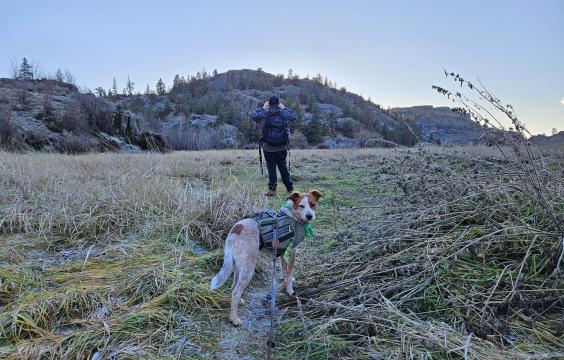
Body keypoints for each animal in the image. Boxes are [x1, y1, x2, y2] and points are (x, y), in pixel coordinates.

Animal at [209, 191, 322, 326]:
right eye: (301, 206)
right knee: (236, 292)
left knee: (233, 288)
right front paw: (290, 290)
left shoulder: (283, 253)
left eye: (313, 204)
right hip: (248, 269)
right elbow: (289, 273)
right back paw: (234, 319)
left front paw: (285, 282)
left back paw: (239, 302)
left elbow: (284, 271)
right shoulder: (292, 251)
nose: (309, 216)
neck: (293, 215)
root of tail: (236, 228)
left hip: (237, 266)